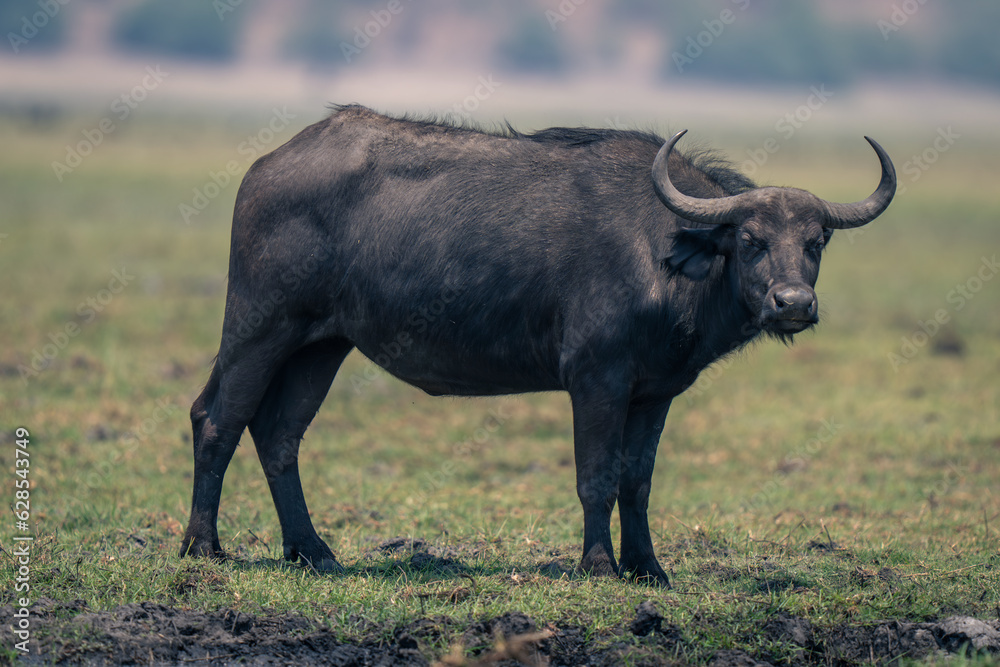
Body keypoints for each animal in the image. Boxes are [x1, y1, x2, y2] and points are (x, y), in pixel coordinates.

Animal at [180, 105, 895, 586]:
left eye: (816, 241)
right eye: (749, 238)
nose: (793, 304)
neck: (664, 251)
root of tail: (267, 166)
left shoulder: (655, 392)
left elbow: (638, 480)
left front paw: (648, 567)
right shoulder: (596, 379)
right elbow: (596, 475)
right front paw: (600, 566)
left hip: (321, 346)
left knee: (278, 435)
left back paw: (314, 552)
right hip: (259, 326)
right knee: (216, 419)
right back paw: (202, 548)